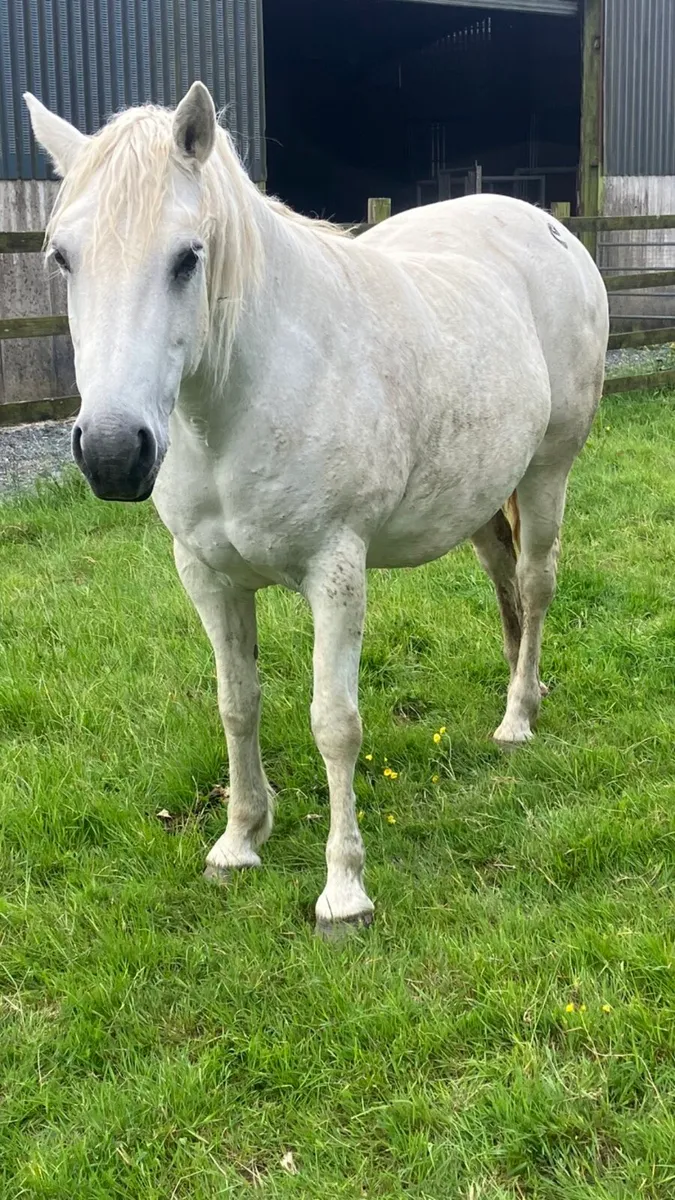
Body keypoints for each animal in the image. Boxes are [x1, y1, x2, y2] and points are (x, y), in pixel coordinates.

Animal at [25, 83, 608, 936]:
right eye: (63, 258)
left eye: (187, 257)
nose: (110, 452)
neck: (244, 394)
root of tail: (550, 227)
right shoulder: (207, 576)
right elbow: (237, 705)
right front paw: (239, 841)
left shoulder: (335, 572)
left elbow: (335, 724)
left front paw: (343, 891)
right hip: (479, 496)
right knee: (505, 586)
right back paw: (521, 692)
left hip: (546, 472)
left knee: (533, 587)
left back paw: (516, 719)